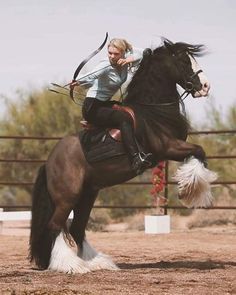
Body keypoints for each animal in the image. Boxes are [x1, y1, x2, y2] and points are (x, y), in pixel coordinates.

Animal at [29, 40, 218, 276]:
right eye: (184, 61)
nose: (205, 86)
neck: (152, 113)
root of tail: (49, 162)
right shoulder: (168, 148)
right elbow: (200, 151)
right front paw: (190, 192)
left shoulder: (173, 149)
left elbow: (198, 154)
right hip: (67, 197)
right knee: (55, 226)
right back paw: (71, 265)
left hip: (88, 194)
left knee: (77, 228)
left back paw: (96, 262)